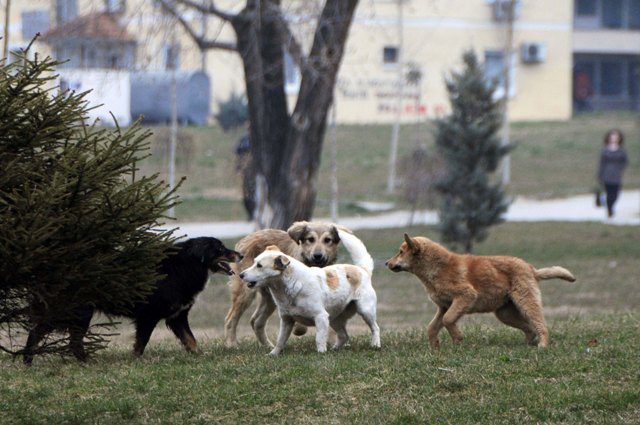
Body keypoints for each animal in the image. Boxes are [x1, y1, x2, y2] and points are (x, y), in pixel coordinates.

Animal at [23, 237, 240, 362]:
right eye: (220, 248)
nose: (240, 254)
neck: (183, 266)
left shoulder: (177, 317)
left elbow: (190, 340)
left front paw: (199, 355)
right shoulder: (148, 317)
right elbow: (141, 343)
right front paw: (135, 360)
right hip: (77, 312)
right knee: (57, 338)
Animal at [240, 229, 380, 354]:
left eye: (259, 266)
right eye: (254, 262)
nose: (241, 275)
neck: (291, 287)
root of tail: (362, 269)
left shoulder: (321, 317)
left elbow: (319, 339)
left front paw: (321, 353)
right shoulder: (286, 321)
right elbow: (280, 340)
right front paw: (273, 354)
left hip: (365, 310)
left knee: (375, 328)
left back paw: (375, 345)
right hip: (335, 319)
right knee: (344, 336)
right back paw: (335, 349)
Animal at [384, 234, 576, 346]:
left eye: (400, 252)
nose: (386, 263)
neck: (436, 268)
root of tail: (531, 269)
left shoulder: (465, 296)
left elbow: (448, 320)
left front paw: (457, 339)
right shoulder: (444, 306)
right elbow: (432, 327)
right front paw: (435, 346)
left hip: (526, 302)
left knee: (540, 325)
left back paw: (542, 345)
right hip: (505, 314)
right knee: (529, 327)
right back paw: (528, 343)